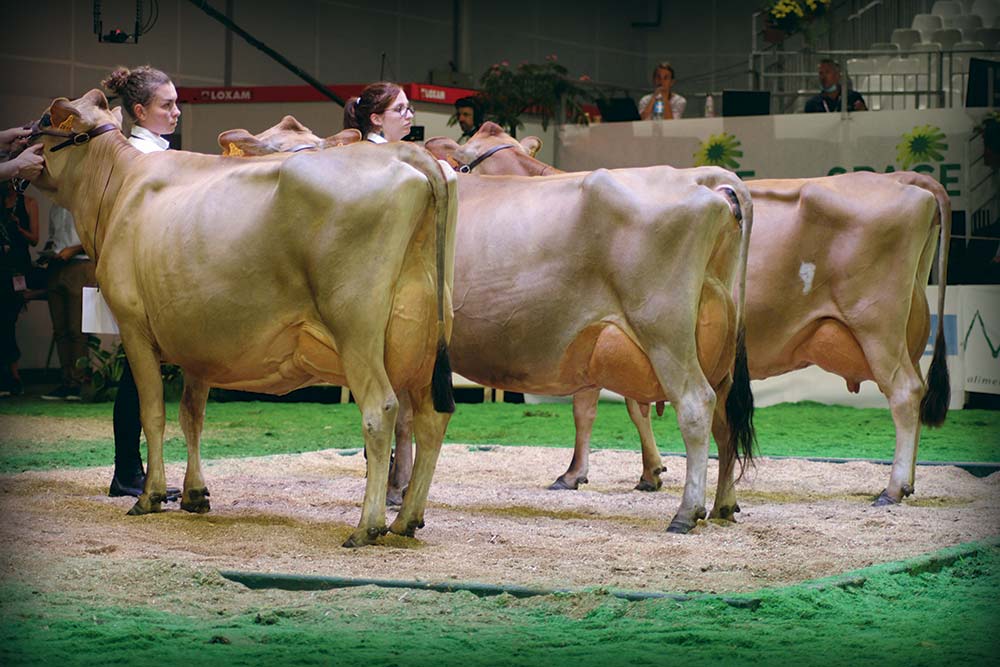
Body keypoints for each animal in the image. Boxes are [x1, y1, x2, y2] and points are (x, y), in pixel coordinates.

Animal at [27, 90, 458, 548]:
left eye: (45, 119)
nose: (22, 140)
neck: (121, 186)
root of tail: (409, 153)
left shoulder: (133, 326)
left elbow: (152, 413)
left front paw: (151, 495)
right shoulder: (198, 341)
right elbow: (192, 415)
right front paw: (195, 494)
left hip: (357, 329)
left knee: (381, 410)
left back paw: (367, 525)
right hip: (426, 338)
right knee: (431, 419)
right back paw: (407, 519)